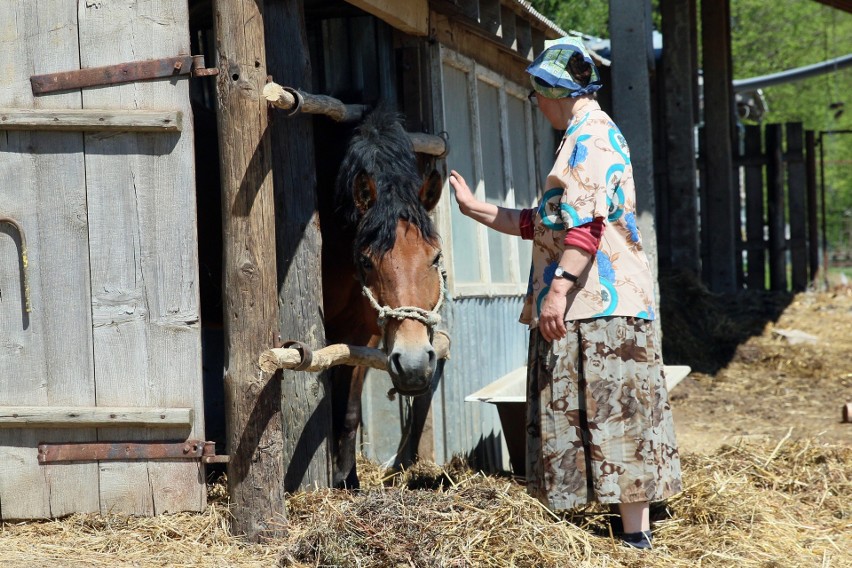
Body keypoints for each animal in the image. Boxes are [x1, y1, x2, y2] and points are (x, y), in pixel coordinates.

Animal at [316, 106, 442, 488]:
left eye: (435, 258)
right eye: (366, 261)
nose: (414, 365)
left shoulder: (363, 333)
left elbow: (349, 410)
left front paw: (347, 480)